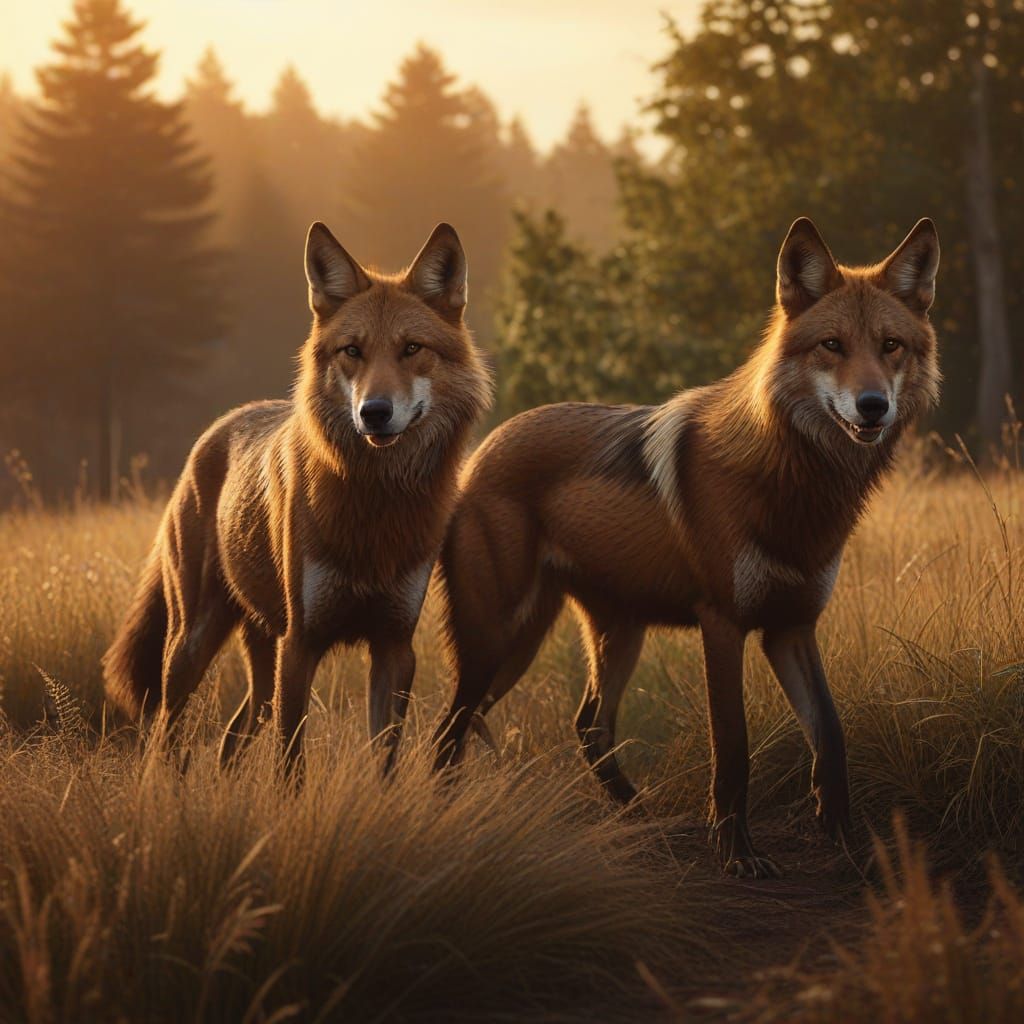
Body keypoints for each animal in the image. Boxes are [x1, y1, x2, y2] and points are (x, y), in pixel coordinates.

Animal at [103, 222, 493, 770]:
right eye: (352, 351)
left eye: (412, 348)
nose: (374, 412)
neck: (374, 508)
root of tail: (220, 425)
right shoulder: (301, 644)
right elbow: (290, 768)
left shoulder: (394, 647)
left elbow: (383, 765)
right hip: (192, 647)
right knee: (164, 736)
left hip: (261, 668)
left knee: (230, 738)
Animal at [433, 218, 940, 876]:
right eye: (832, 345)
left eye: (890, 346)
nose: (873, 406)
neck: (793, 487)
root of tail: (479, 455)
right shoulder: (722, 624)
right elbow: (734, 746)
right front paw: (738, 855)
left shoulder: (791, 627)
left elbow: (830, 733)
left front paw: (845, 839)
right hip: (498, 643)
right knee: (449, 732)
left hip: (598, 638)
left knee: (587, 726)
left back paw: (639, 816)